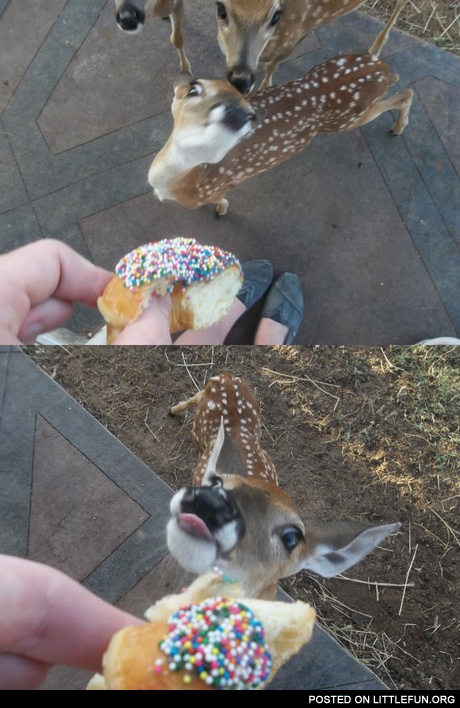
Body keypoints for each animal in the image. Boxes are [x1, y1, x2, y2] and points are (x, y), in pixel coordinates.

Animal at [167, 372, 401, 600]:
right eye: (216, 483)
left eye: (291, 538)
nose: (210, 504)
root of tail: (228, 376)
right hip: (200, 426)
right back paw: (174, 410)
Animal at [215, 0, 376, 95]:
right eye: (221, 8)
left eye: (276, 15)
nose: (241, 82)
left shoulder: (295, 38)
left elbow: (271, 67)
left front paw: (265, 88)